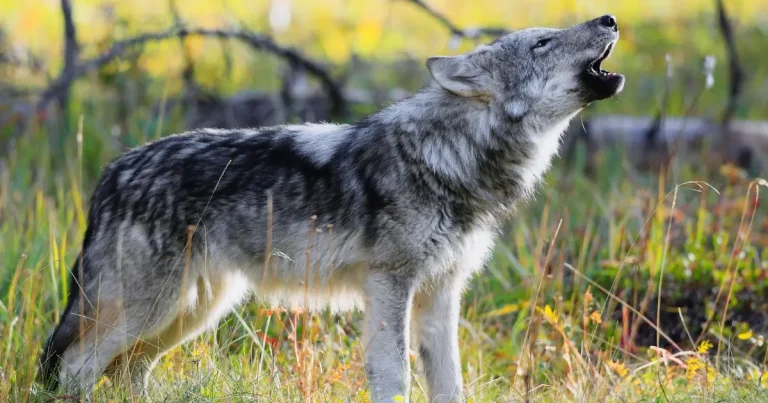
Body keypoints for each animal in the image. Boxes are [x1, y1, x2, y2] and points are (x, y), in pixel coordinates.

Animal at [39, 15, 623, 402]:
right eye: (543, 42)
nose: (610, 17)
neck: (450, 156)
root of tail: (113, 172)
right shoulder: (390, 285)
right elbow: (394, 376)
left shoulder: (441, 293)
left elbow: (449, 384)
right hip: (152, 310)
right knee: (76, 366)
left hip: (191, 312)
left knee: (126, 372)